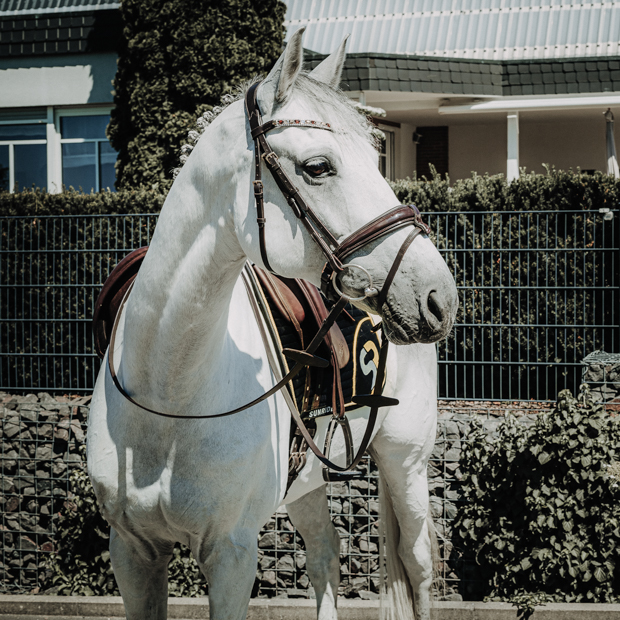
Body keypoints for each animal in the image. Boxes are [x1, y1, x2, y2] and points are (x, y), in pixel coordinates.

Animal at [86, 30, 456, 620]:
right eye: (319, 166)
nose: (438, 295)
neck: (169, 393)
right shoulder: (133, 551)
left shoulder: (232, 555)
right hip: (305, 483)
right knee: (326, 556)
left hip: (406, 464)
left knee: (418, 569)